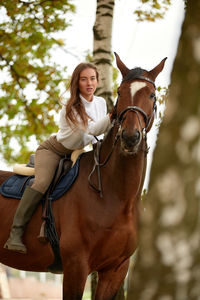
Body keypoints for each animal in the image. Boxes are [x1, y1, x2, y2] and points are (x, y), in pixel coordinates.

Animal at [0, 54, 166, 300]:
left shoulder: (115, 270)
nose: (130, 137)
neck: (115, 196)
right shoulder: (76, 267)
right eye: (119, 92)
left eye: (151, 94)